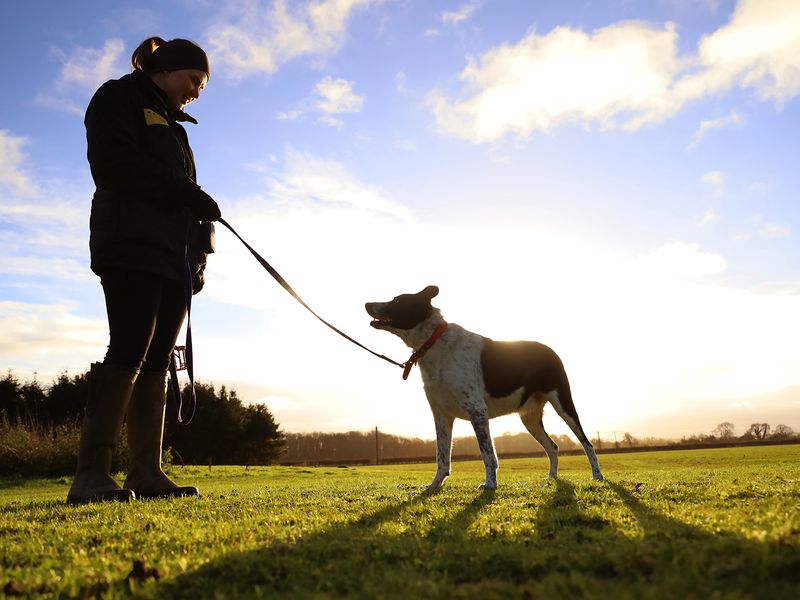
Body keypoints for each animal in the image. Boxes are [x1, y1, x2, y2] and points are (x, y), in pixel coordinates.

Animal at [366, 288, 604, 490]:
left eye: (397, 301)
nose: (367, 303)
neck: (434, 343)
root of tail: (550, 350)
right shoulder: (441, 415)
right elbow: (442, 456)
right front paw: (435, 485)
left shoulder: (477, 410)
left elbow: (487, 453)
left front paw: (490, 484)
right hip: (529, 418)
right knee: (553, 446)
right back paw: (552, 478)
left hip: (563, 404)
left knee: (587, 444)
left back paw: (597, 476)